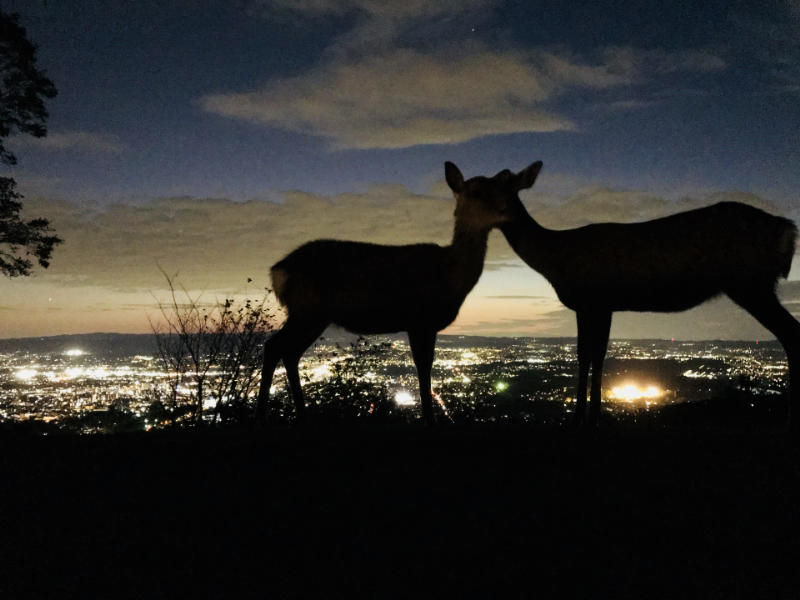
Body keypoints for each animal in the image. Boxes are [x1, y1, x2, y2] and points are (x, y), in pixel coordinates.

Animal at [256, 157, 544, 424]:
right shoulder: (418, 321)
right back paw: (262, 416)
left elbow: (427, 366)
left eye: (507, 189)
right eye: (475, 192)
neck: (450, 275)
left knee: (290, 353)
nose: (509, 209)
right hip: (307, 309)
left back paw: (303, 416)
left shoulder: (428, 326)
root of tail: (278, 270)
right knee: (273, 346)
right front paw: (429, 419)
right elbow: (422, 368)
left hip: (315, 316)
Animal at [500, 166, 800, 426]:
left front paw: (583, 419)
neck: (554, 260)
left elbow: (590, 353)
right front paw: (588, 417)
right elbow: (593, 353)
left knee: (791, 333)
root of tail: (788, 230)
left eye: (499, 186)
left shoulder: (594, 301)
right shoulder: (597, 305)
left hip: (750, 283)